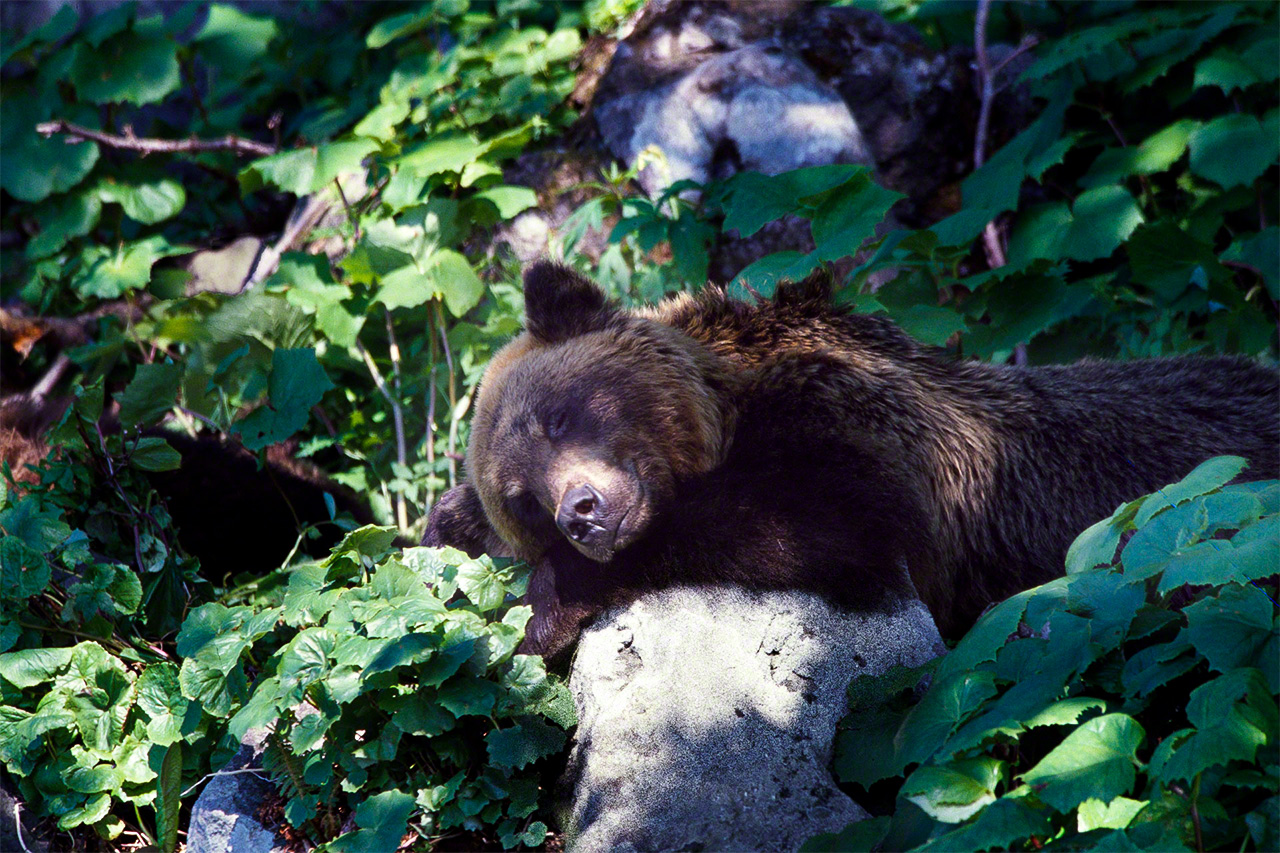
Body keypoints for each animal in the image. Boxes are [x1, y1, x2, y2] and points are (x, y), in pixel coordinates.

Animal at [424, 261, 1280, 661]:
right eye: (522, 498)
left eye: (560, 414)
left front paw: (548, 602)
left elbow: (832, 523)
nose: (581, 511)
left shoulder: (862, 426)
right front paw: (451, 527)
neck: (728, 406)